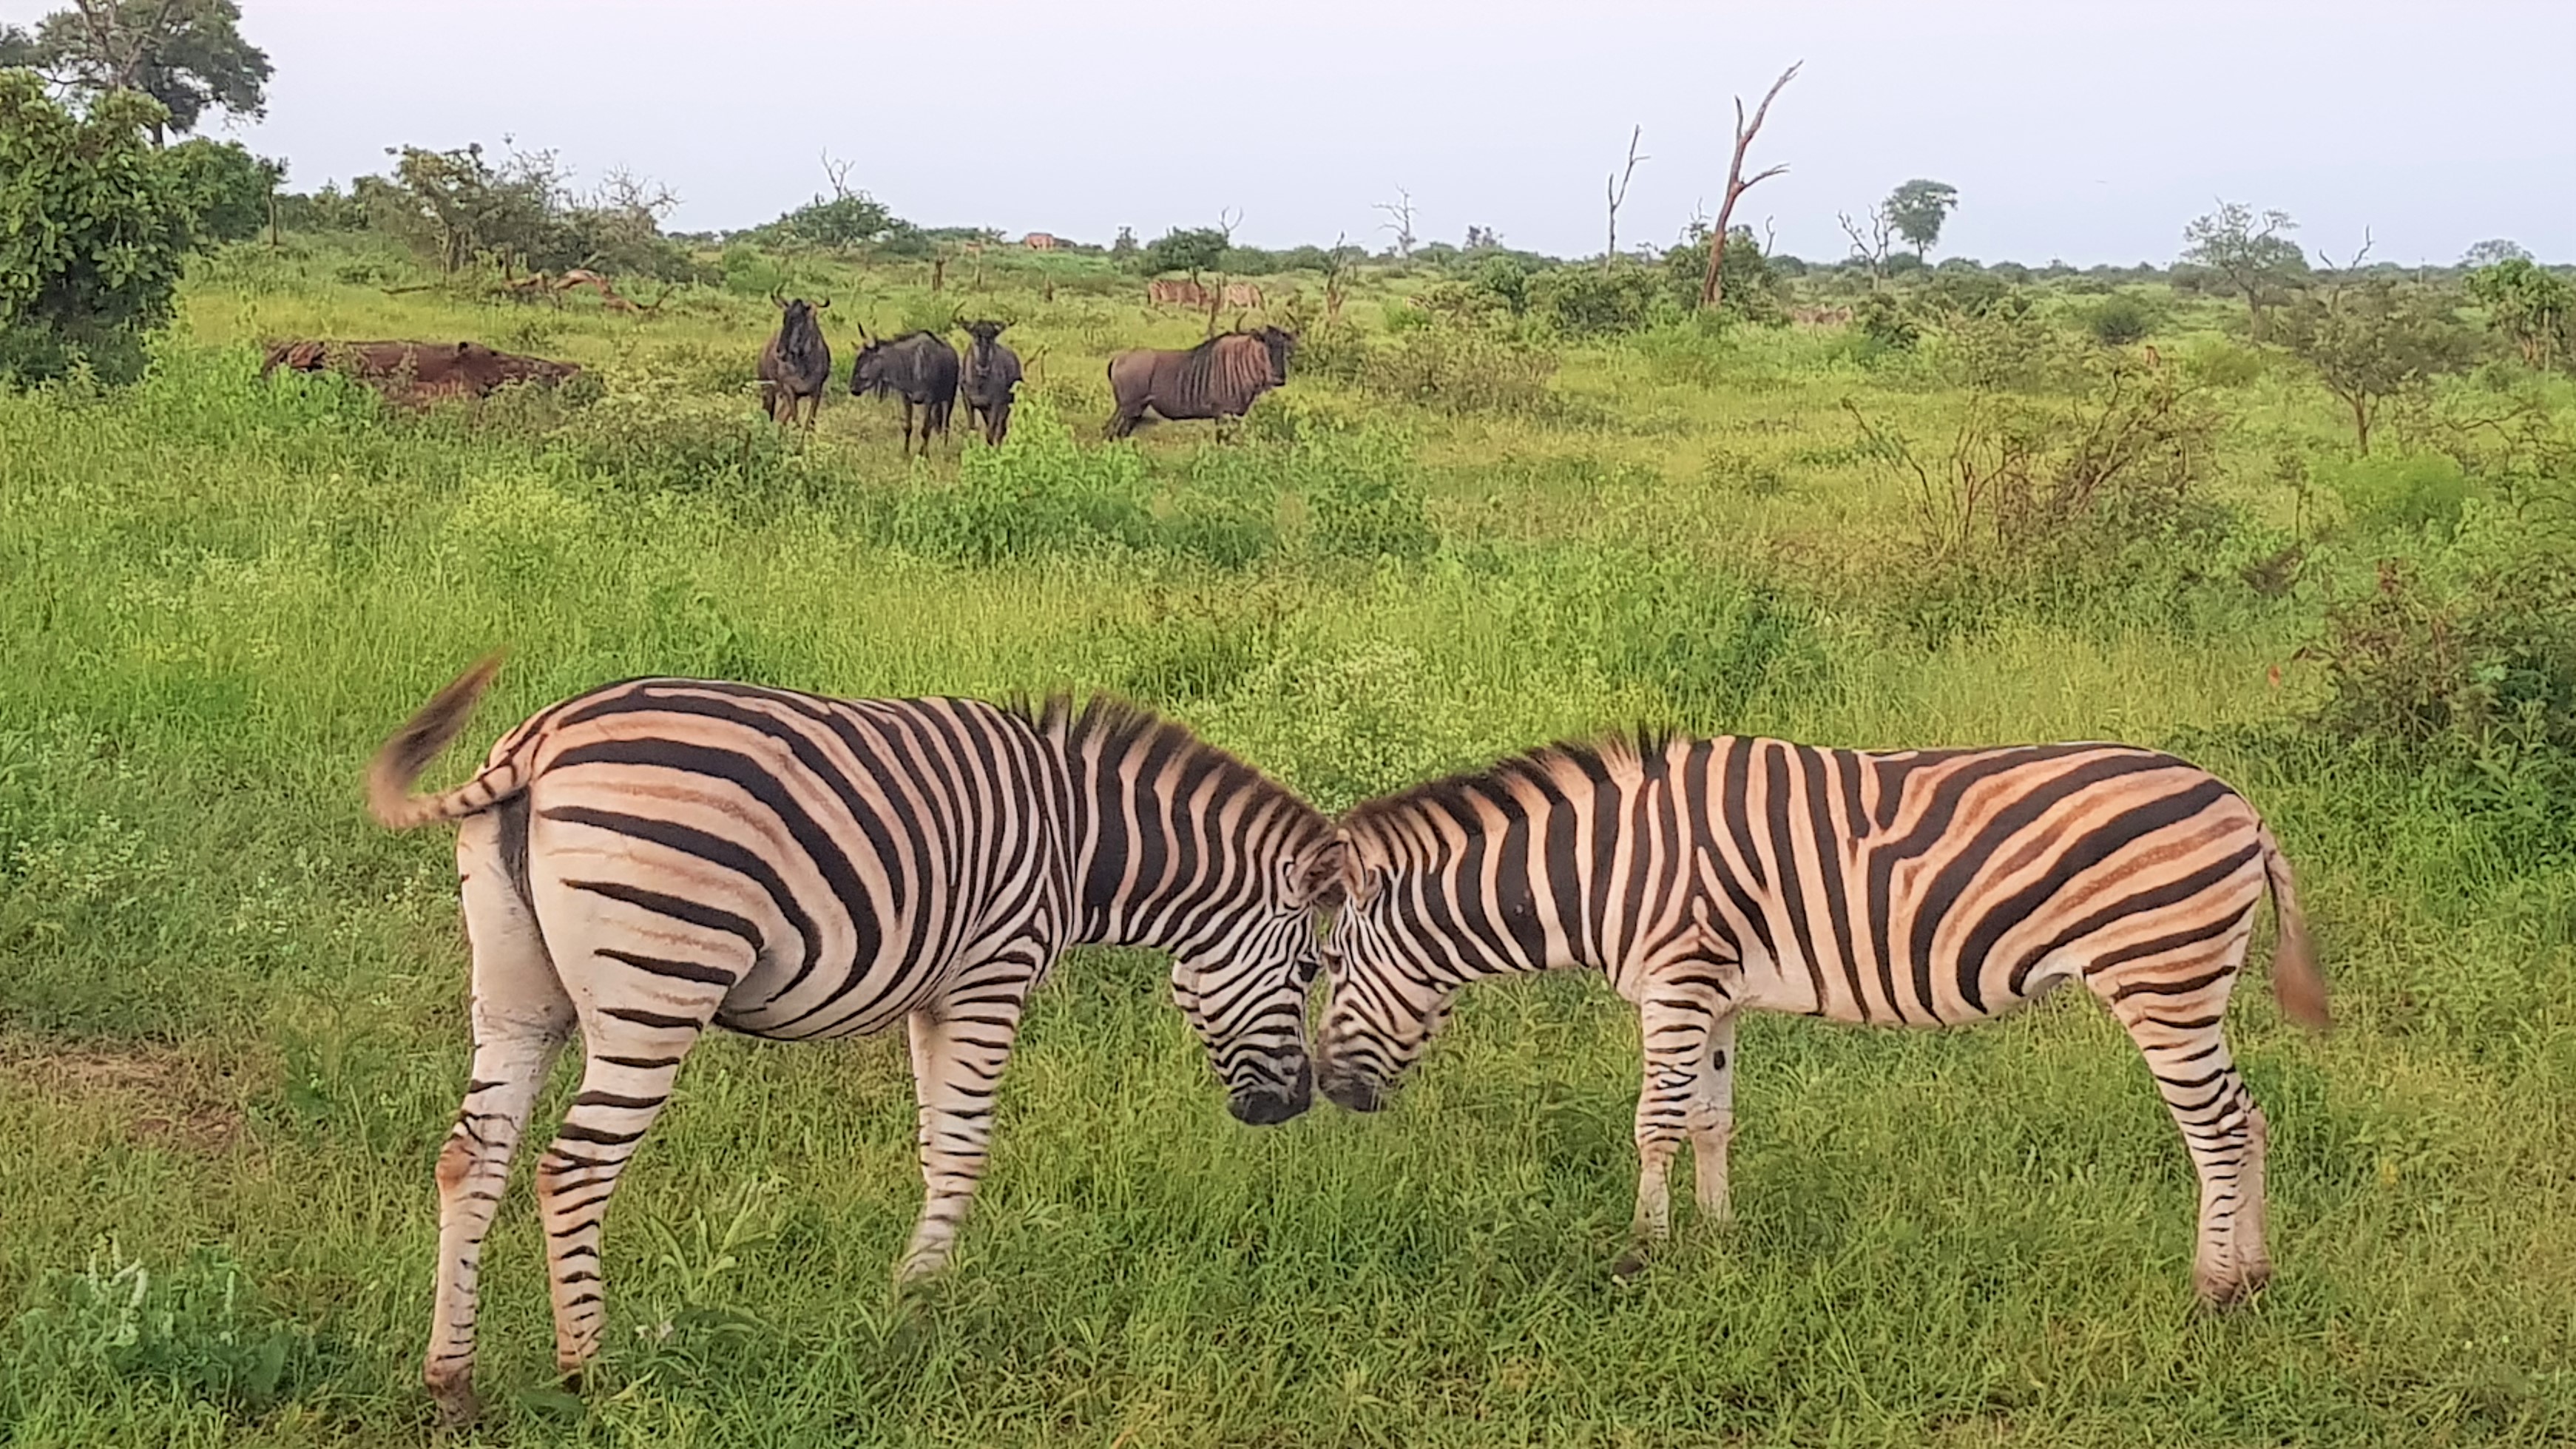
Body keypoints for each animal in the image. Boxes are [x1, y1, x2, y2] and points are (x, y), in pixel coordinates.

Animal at [367, 660, 1344, 1425]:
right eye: (1308, 969)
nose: (1294, 1104)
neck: (1077, 844)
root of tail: (539, 741)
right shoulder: (992, 975)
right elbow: (966, 1149)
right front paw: (918, 1313)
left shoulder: (933, 993)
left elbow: (934, 1145)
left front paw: (912, 1297)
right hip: (659, 981)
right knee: (572, 1171)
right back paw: (592, 1378)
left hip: (517, 991)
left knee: (473, 1157)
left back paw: (453, 1385)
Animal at [1311, 733, 2329, 1305]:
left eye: (1326, 969)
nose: (1328, 1091)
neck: (1598, 867)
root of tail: (2242, 806)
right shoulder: (1712, 991)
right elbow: (1711, 1119)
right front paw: (1718, 1242)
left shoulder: (1677, 979)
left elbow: (1654, 1124)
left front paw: (1641, 1255)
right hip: (2191, 987)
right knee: (2251, 1118)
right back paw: (2259, 1275)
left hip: (2162, 978)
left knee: (2217, 1131)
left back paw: (2212, 1290)